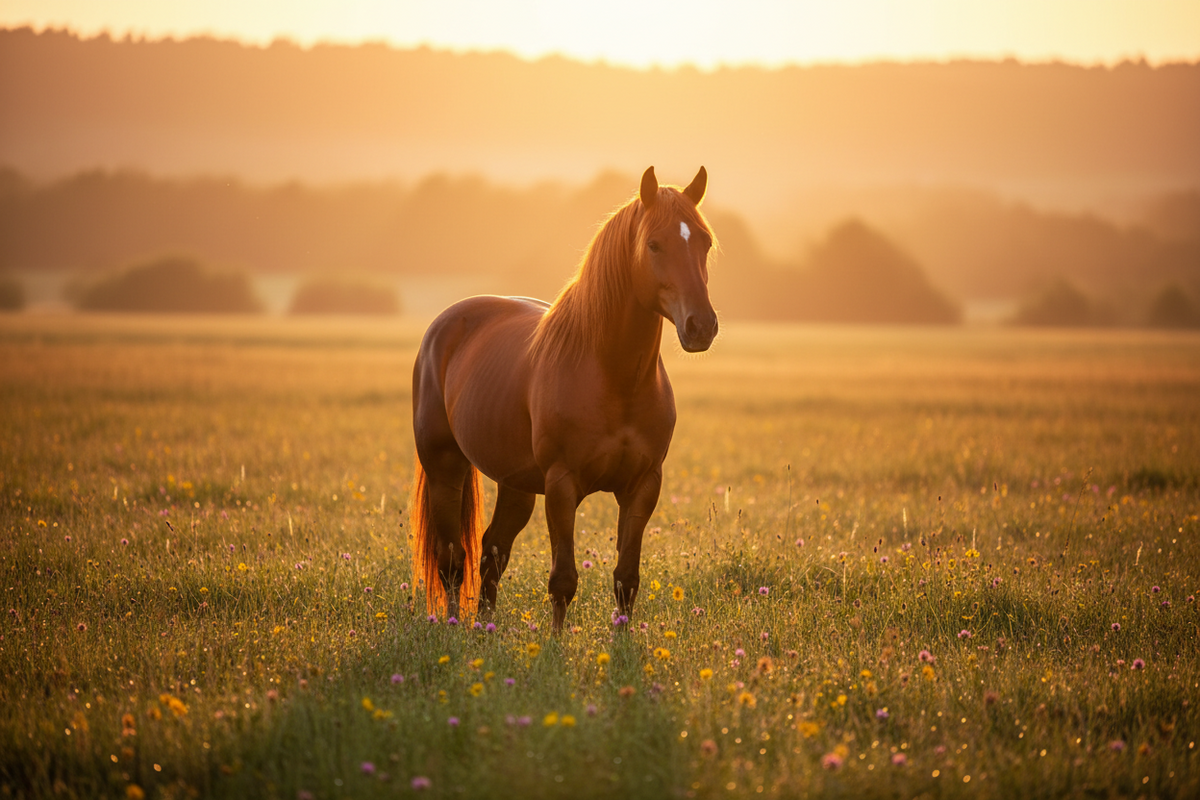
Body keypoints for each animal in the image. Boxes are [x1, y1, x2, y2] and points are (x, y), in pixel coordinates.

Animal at [409, 166, 718, 632]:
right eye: (654, 243)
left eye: (704, 241)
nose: (701, 326)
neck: (614, 377)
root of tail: (444, 324)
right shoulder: (561, 484)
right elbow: (563, 580)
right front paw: (555, 644)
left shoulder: (643, 486)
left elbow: (626, 579)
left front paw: (621, 642)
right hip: (446, 467)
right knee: (452, 561)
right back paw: (453, 628)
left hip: (515, 483)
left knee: (492, 552)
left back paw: (485, 629)